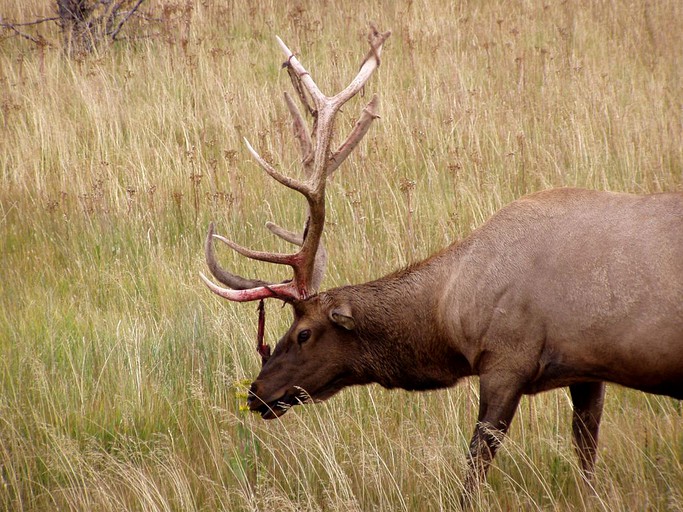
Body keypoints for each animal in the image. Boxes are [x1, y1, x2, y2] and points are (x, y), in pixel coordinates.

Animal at [202, 28, 683, 500]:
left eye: (303, 333)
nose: (257, 392)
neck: (449, 315)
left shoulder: (506, 360)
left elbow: (474, 469)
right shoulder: (586, 369)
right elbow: (586, 462)